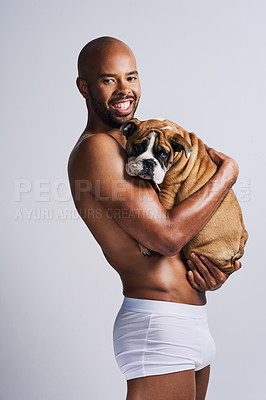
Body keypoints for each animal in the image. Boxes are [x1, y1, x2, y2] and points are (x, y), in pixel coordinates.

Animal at [121, 118, 248, 276]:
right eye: (138, 147)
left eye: (163, 154)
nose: (149, 162)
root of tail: (242, 238)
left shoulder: (167, 192)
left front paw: (144, 246)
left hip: (196, 248)